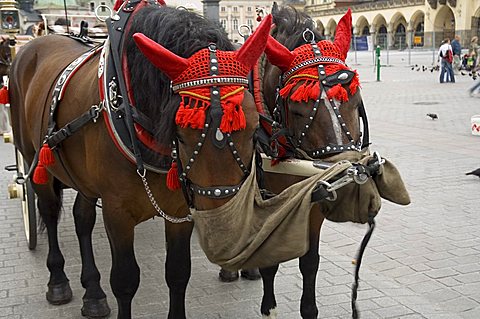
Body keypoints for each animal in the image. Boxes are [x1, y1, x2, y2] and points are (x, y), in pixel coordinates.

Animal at [8, 3, 270, 318]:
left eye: (254, 128)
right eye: (180, 134)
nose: (224, 231)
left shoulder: (180, 209)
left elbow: (178, 273)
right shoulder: (117, 212)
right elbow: (125, 280)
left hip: (82, 176)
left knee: (82, 218)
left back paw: (93, 293)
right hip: (36, 161)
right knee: (47, 209)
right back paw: (58, 282)